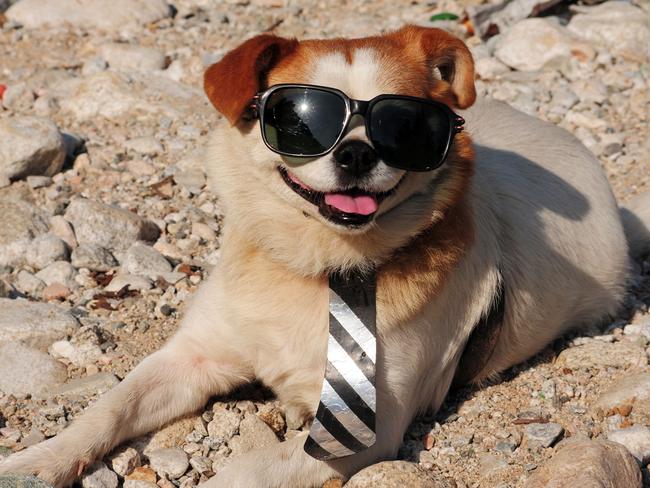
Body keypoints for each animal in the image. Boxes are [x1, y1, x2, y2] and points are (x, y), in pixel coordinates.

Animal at [1, 23, 648, 488]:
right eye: (297, 119)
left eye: (403, 123)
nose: (357, 154)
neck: (316, 267)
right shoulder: (192, 358)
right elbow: (107, 410)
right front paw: (37, 462)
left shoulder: (364, 429)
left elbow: (246, 472)